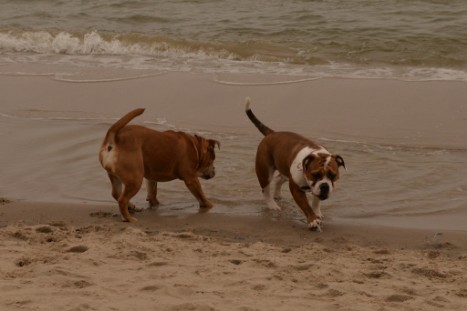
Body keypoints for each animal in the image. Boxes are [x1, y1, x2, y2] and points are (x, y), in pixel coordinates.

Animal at [247, 99, 346, 232]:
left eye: (332, 175)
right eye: (315, 175)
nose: (325, 186)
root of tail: (271, 133)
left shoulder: (315, 189)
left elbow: (316, 202)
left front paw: (317, 212)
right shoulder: (295, 188)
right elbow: (306, 206)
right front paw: (312, 220)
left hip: (285, 169)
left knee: (278, 179)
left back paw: (277, 195)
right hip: (264, 171)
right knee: (266, 190)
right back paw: (273, 205)